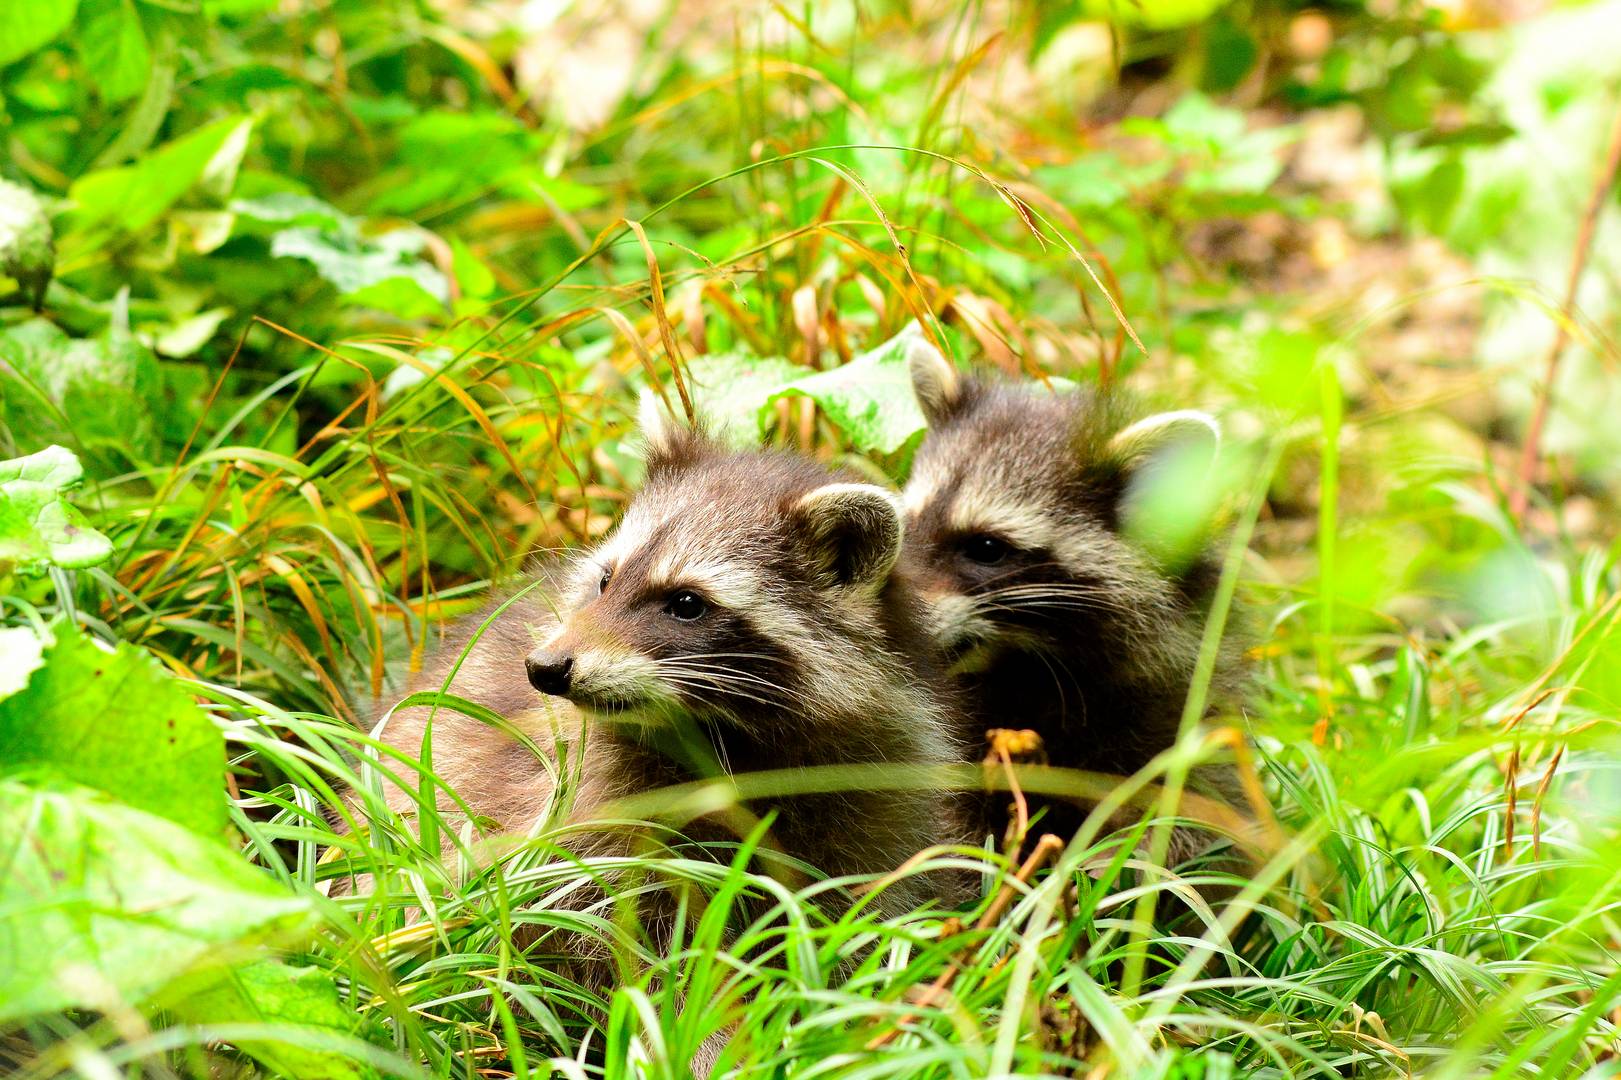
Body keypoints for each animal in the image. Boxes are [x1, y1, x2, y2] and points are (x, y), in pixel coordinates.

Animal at [367, 402, 959, 927]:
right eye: (606, 580)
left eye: (686, 603)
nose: (543, 667)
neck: (725, 742)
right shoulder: (580, 808)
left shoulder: (872, 797)